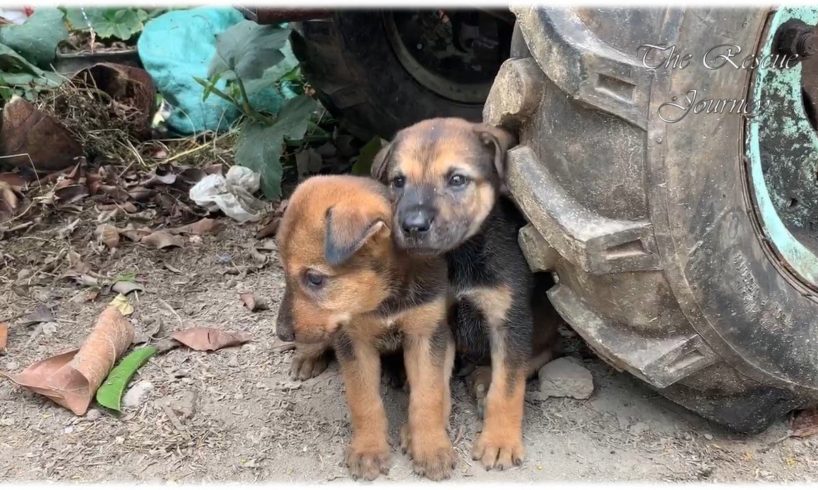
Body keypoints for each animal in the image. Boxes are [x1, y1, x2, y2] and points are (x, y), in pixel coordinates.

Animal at [272, 174, 452, 480]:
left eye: (315, 278)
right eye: (284, 272)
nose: (282, 333)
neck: (384, 298)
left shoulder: (426, 334)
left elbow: (428, 395)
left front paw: (431, 448)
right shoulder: (353, 341)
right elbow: (364, 400)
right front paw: (368, 450)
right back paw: (307, 357)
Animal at [372, 117, 556, 470]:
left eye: (457, 179)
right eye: (398, 181)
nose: (412, 226)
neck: (458, 259)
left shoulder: (509, 322)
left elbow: (508, 388)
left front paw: (499, 441)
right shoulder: (438, 326)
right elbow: (432, 386)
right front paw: (421, 432)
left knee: (543, 352)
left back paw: (484, 377)